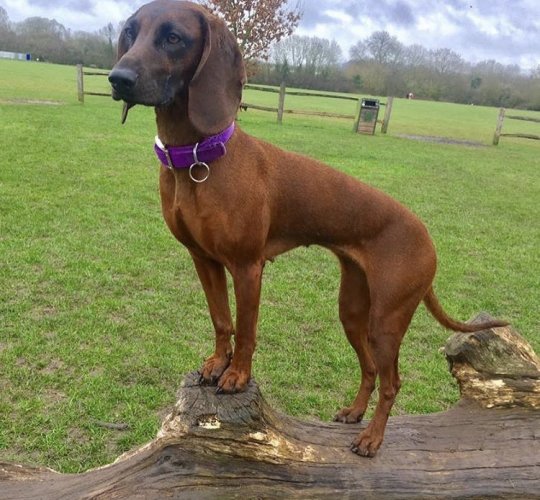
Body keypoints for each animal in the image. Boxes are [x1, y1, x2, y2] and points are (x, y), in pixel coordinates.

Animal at [108, 0, 506, 456]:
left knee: (392, 381)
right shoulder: (203, 260)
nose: (118, 78)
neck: (195, 158)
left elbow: (247, 328)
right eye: (130, 32)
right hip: (352, 310)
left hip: (387, 320)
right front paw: (216, 363)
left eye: (173, 37)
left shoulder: (247, 267)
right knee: (370, 369)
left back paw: (372, 438)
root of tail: (427, 238)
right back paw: (354, 413)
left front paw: (237, 375)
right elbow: (222, 320)